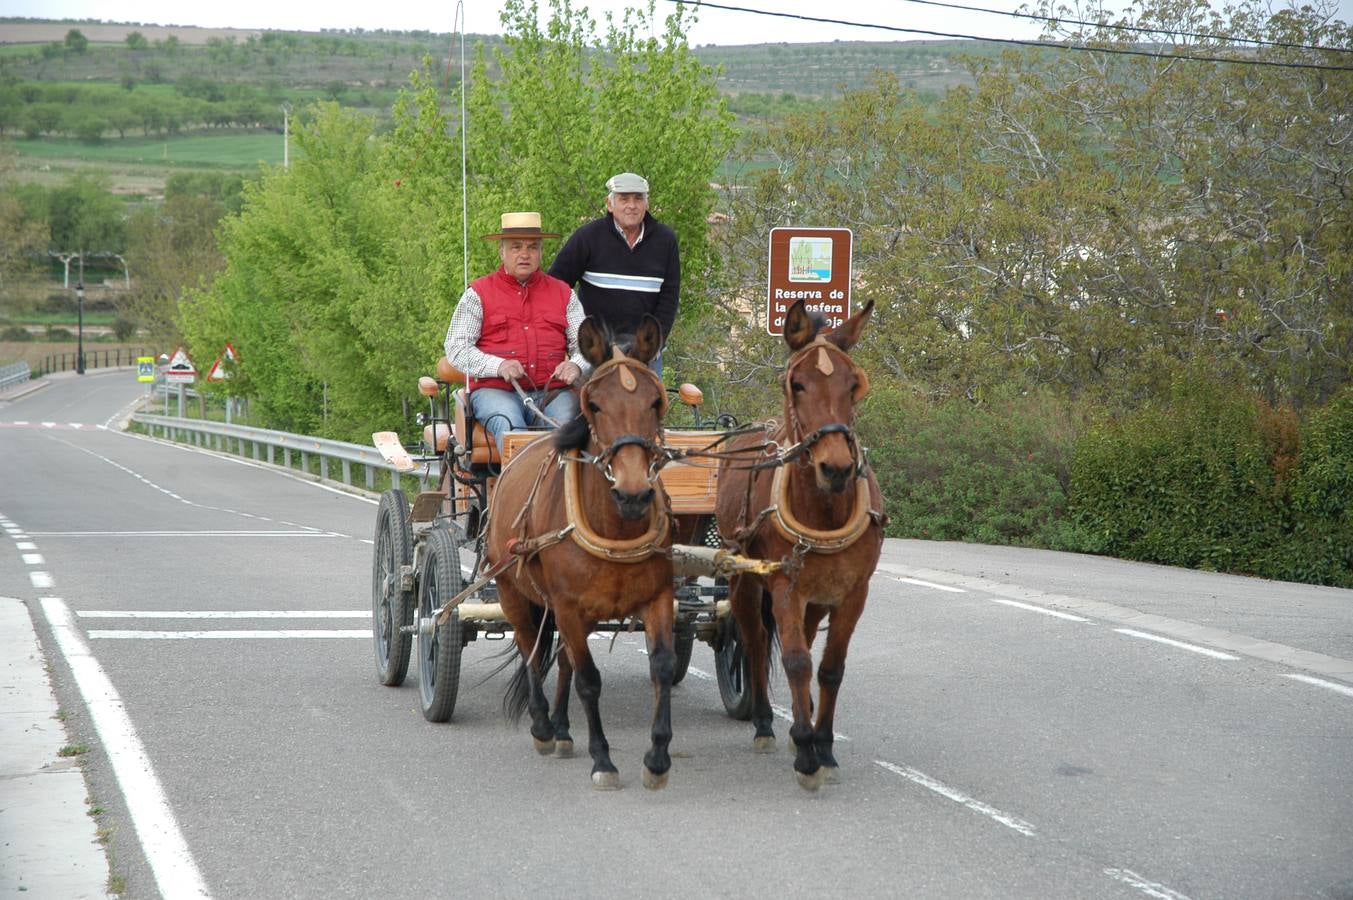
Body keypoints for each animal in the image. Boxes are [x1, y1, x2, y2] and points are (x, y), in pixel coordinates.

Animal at [714, 297, 882, 790]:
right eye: (798, 383)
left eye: (854, 384)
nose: (837, 467)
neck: (824, 511)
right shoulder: (785, 586)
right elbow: (794, 661)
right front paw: (807, 753)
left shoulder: (851, 594)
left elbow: (828, 668)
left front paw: (822, 746)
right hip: (744, 580)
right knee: (751, 640)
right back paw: (766, 724)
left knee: (805, 641)